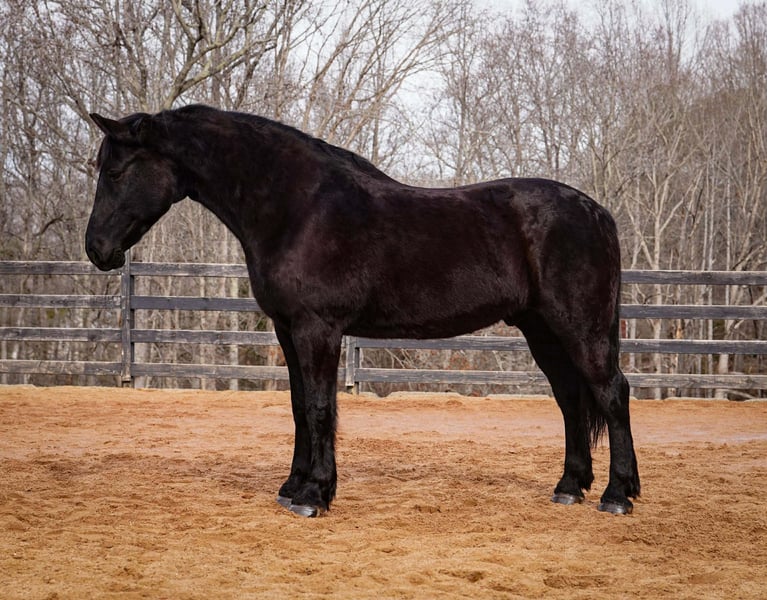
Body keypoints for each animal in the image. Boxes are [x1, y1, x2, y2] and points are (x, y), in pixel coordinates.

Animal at [85, 105, 640, 517]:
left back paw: (617, 495)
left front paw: (314, 495)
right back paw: (569, 487)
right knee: (570, 398)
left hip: (580, 327)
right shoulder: (287, 330)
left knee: (611, 393)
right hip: (542, 330)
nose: (96, 249)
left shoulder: (318, 329)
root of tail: (598, 213)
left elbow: (320, 407)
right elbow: (298, 408)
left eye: (115, 171)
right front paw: (292, 486)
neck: (296, 207)